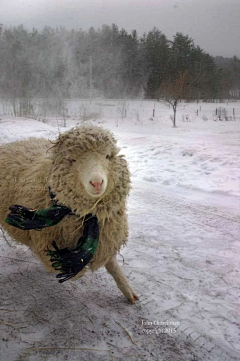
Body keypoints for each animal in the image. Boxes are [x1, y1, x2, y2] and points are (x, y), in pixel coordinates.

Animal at [0, 125, 139, 302]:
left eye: (107, 156)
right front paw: (72, 267)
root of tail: (10, 144)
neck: (87, 216)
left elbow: (112, 264)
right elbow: (71, 268)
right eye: (73, 160)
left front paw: (128, 290)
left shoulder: (106, 238)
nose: (97, 182)